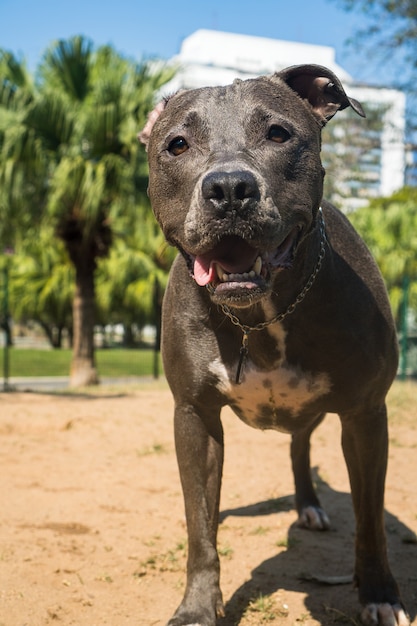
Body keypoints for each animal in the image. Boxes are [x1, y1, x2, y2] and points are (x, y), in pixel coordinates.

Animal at [139, 64, 406, 624]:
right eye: (177, 145)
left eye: (278, 134)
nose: (228, 187)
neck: (259, 319)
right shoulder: (194, 416)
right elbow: (200, 528)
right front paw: (198, 606)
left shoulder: (367, 415)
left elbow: (370, 520)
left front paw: (379, 592)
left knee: (301, 447)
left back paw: (309, 503)